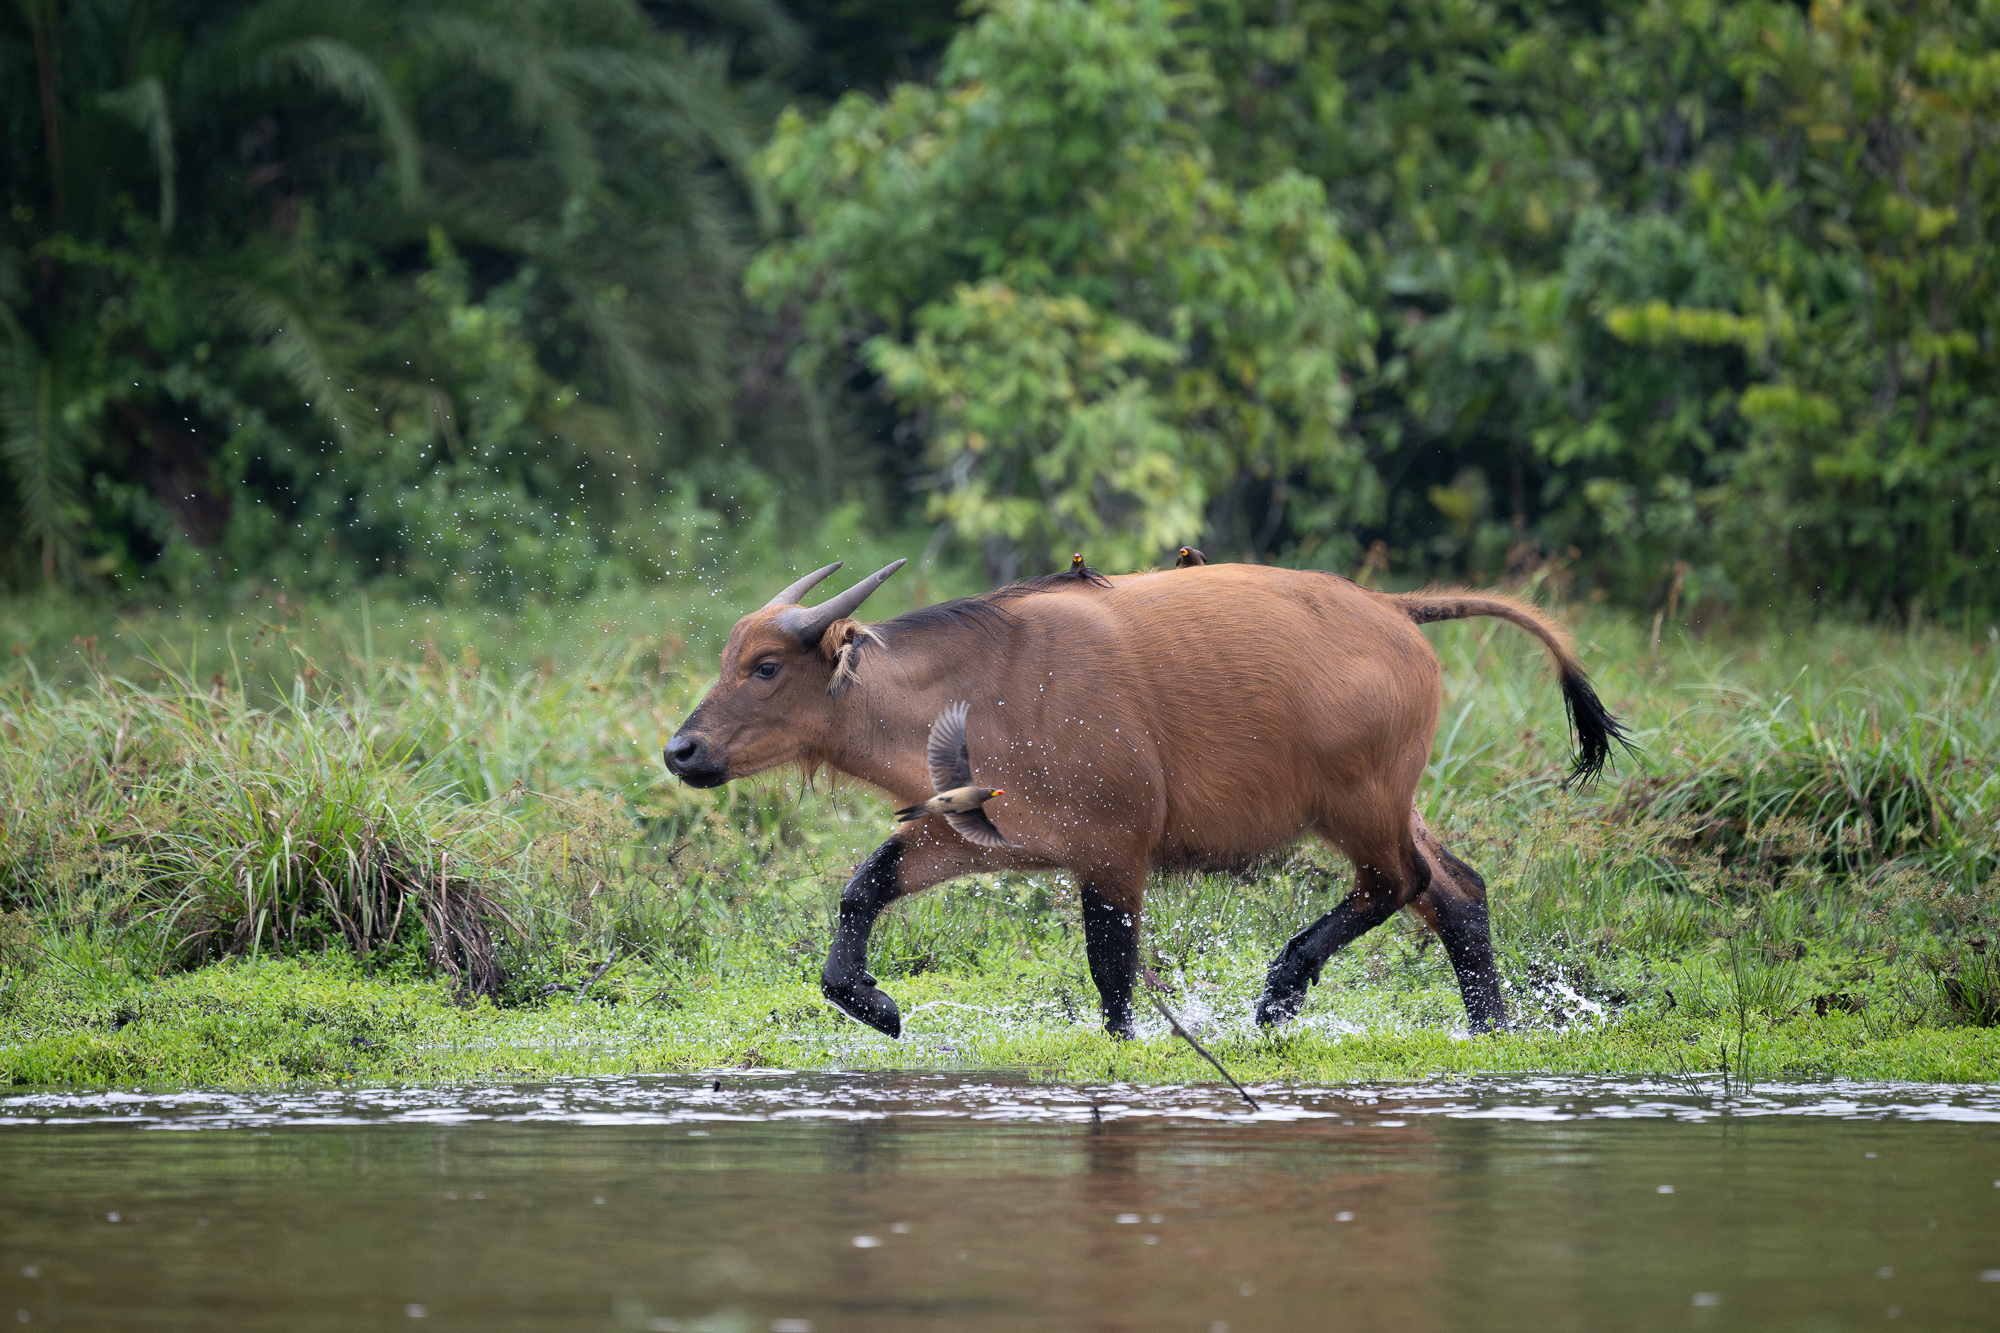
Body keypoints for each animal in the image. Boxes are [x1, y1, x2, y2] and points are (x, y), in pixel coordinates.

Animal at [665, 558, 1625, 1038]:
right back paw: (1492, 1027)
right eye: (730, 655)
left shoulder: (1114, 852)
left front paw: (1130, 1047)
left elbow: (1112, 969)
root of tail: (1393, 610)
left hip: (1360, 807)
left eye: (766, 665)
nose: (682, 750)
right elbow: (864, 885)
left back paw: (1280, 992)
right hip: (1389, 806)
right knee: (1457, 888)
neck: (988, 688)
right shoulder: (977, 838)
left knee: (1399, 884)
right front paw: (874, 1003)